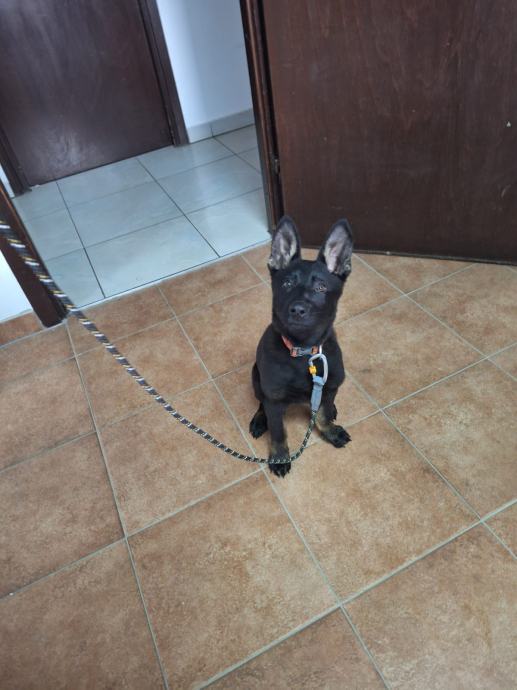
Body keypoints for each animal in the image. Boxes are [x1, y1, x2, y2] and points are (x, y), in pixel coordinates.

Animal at [250, 216, 354, 477]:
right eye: (286, 283)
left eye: (321, 288)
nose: (297, 309)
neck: (303, 352)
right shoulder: (274, 398)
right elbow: (278, 431)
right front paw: (279, 457)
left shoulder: (329, 385)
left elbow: (323, 415)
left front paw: (330, 431)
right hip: (255, 377)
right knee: (261, 403)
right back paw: (259, 419)